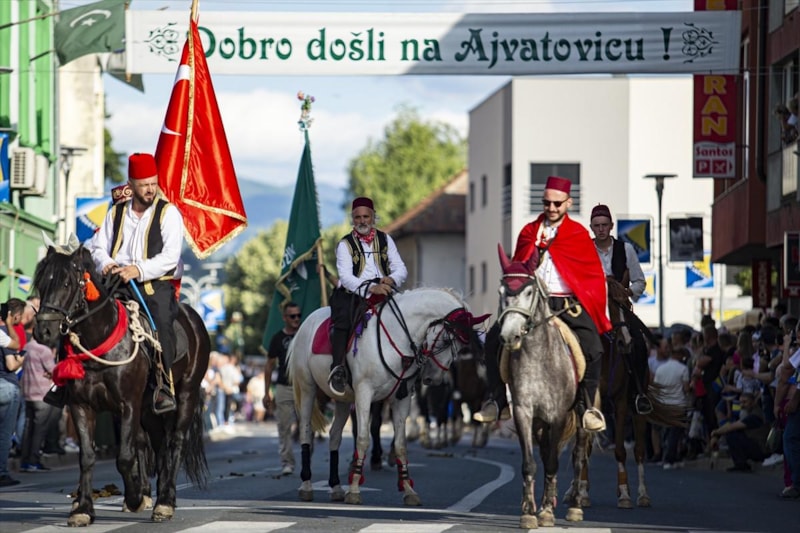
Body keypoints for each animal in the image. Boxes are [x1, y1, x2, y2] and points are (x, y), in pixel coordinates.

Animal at [32, 245, 210, 526]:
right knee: (158, 445)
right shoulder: (81, 405)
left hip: (186, 394)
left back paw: (165, 501)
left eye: (67, 283)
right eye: (41, 283)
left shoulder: (128, 404)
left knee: (176, 442)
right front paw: (83, 509)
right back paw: (157, 495)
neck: (100, 338)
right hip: (149, 409)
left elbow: (125, 457)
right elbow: (88, 456)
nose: (44, 331)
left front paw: (134, 498)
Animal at [289, 287, 484, 506]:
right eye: (446, 340)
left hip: (342, 399)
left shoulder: (402, 399)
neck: (397, 337)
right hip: (308, 388)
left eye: (460, 347)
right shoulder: (364, 394)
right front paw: (354, 489)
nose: (434, 378)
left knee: (335, 436)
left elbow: (400, 444)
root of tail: (307, 321)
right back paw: (306, 485)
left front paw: (408, 490)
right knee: (306, 431)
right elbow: (363, 438)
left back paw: (336, 487)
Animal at [495, 244, 591, 529]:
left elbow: (553, 462)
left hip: (581, 416)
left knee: (578, 456)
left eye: (529, 291)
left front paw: (547, 512)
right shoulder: (524, 413)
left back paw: (574, 506)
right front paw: (529, 512)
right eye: (501, 292)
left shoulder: (557, 415)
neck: (539, 357)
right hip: (540, 423)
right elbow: (531, 463)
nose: (509, 336)